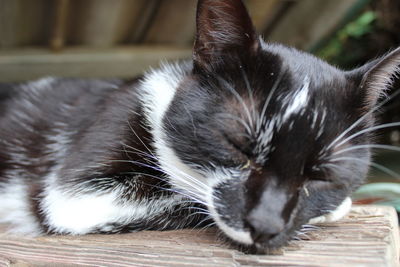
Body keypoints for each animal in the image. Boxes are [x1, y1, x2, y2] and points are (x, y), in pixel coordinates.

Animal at [0, 0, 400, 253]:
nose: (266, 225)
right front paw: (336, 210)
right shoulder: (76, 192)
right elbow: (186, 200)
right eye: (237, 146)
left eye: (322, 176)